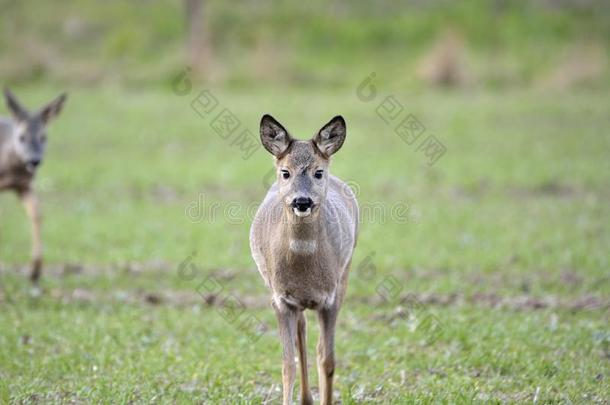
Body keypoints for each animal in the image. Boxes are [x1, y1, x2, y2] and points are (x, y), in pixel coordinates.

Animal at [0, 90, 67, 282]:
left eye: (43, 137)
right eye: (21, 137)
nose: (34, 161)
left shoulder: (24, 186)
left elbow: (36, 213)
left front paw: (35, 270)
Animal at [251, 114, 358, 404]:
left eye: (318, 172)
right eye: (285, 172)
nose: (302, 201)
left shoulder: (330, 299)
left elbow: (327, 359)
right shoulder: (280, 300)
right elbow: (287, 363)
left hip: (346, 272)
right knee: (301, 332)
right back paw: (305, 397)